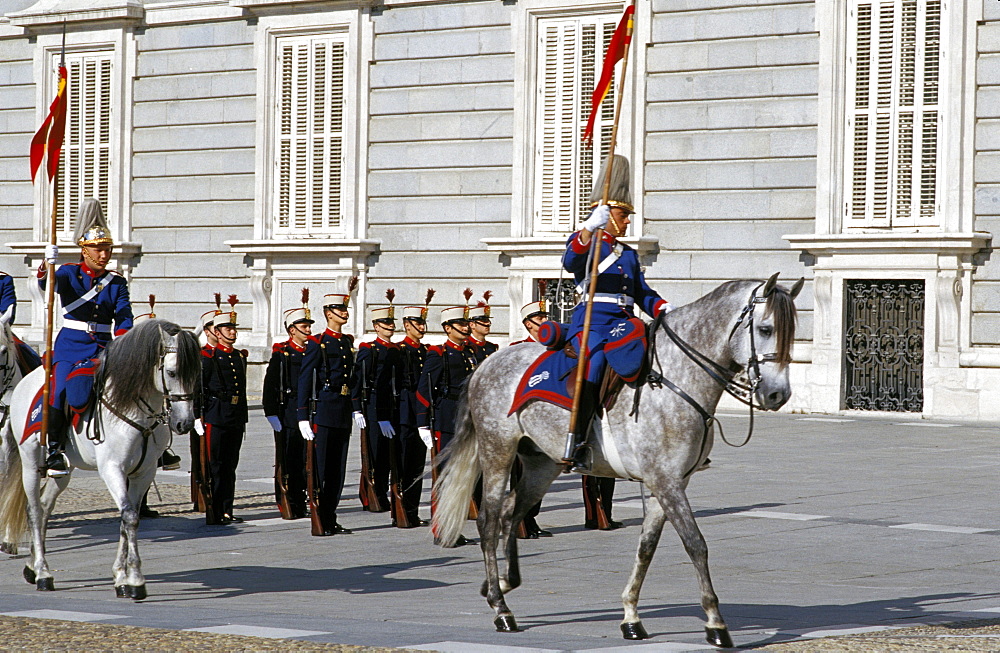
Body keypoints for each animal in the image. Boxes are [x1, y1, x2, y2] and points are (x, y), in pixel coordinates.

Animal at [0, 318, 200, 600]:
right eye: (172, 373)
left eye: (196, 374)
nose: (185, 423)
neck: (135, 408)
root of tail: (27, 381)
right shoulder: (112, 469)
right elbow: (129, 516)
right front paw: (135, 581)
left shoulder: (144, 472)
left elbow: (129, 518)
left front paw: (122, 576)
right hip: (30, 461)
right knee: (34, 510)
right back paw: (43, 573)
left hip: (65, 470)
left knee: (46, 505)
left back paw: (32, 567)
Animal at [434, 272, 800, 644]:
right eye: (766, 328)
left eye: (792, 332)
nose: (777, 394)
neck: (676, 378)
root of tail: (486, 364)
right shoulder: (666, 481)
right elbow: (695, 543)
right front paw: (715, 622)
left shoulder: (668, 482)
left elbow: (647, 546)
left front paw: (631, 616)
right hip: (498, 450)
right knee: (489, 519)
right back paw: (501, 607)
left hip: (541, 464)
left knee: (512, 511)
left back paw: (503, 582)